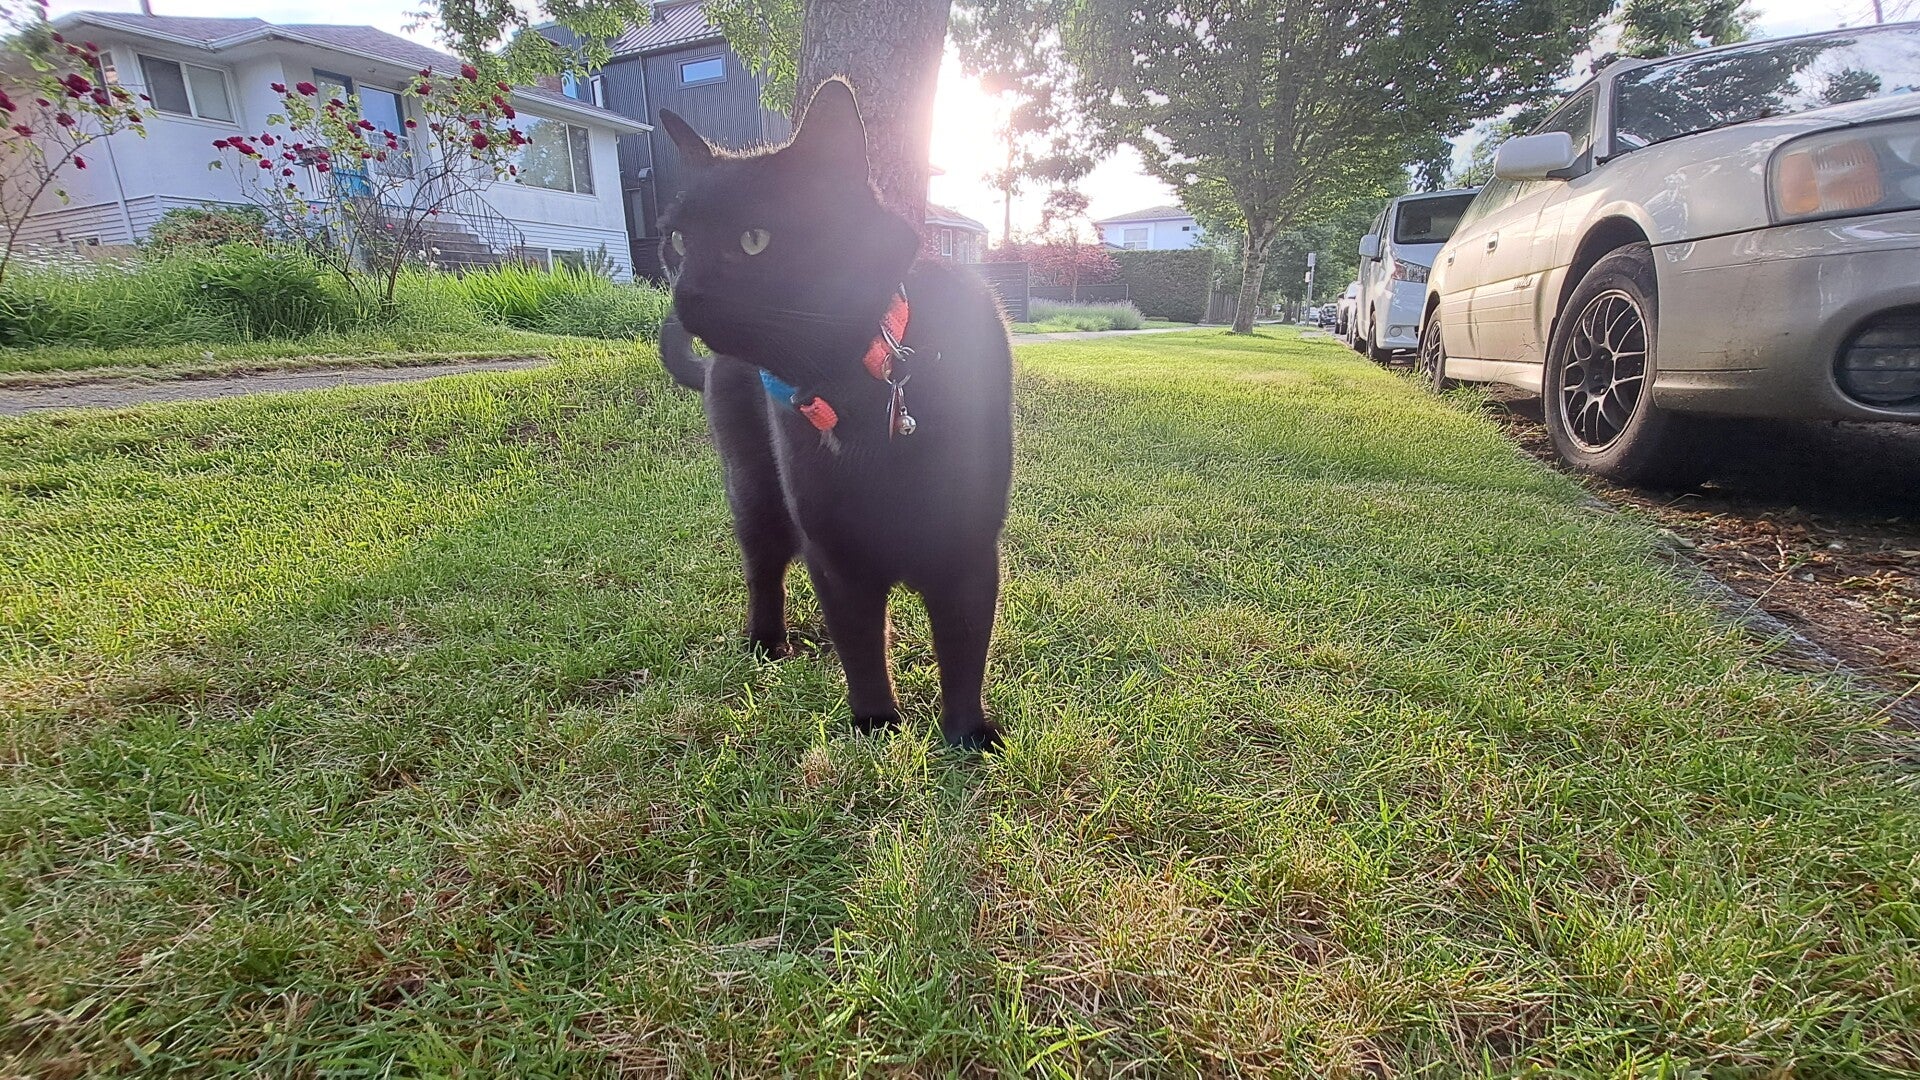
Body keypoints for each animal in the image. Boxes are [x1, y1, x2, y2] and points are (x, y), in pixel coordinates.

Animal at [656, 79, 1014, 751]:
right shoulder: (835, 551)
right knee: (762, 569)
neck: (860, 383)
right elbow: (860, 644)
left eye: (755, 239)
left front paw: (966, 734)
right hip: (755, 492)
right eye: (680, 241)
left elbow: (963, 645)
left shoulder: (968, 546)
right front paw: (875, 723)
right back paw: (766, 643)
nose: (684, 296)